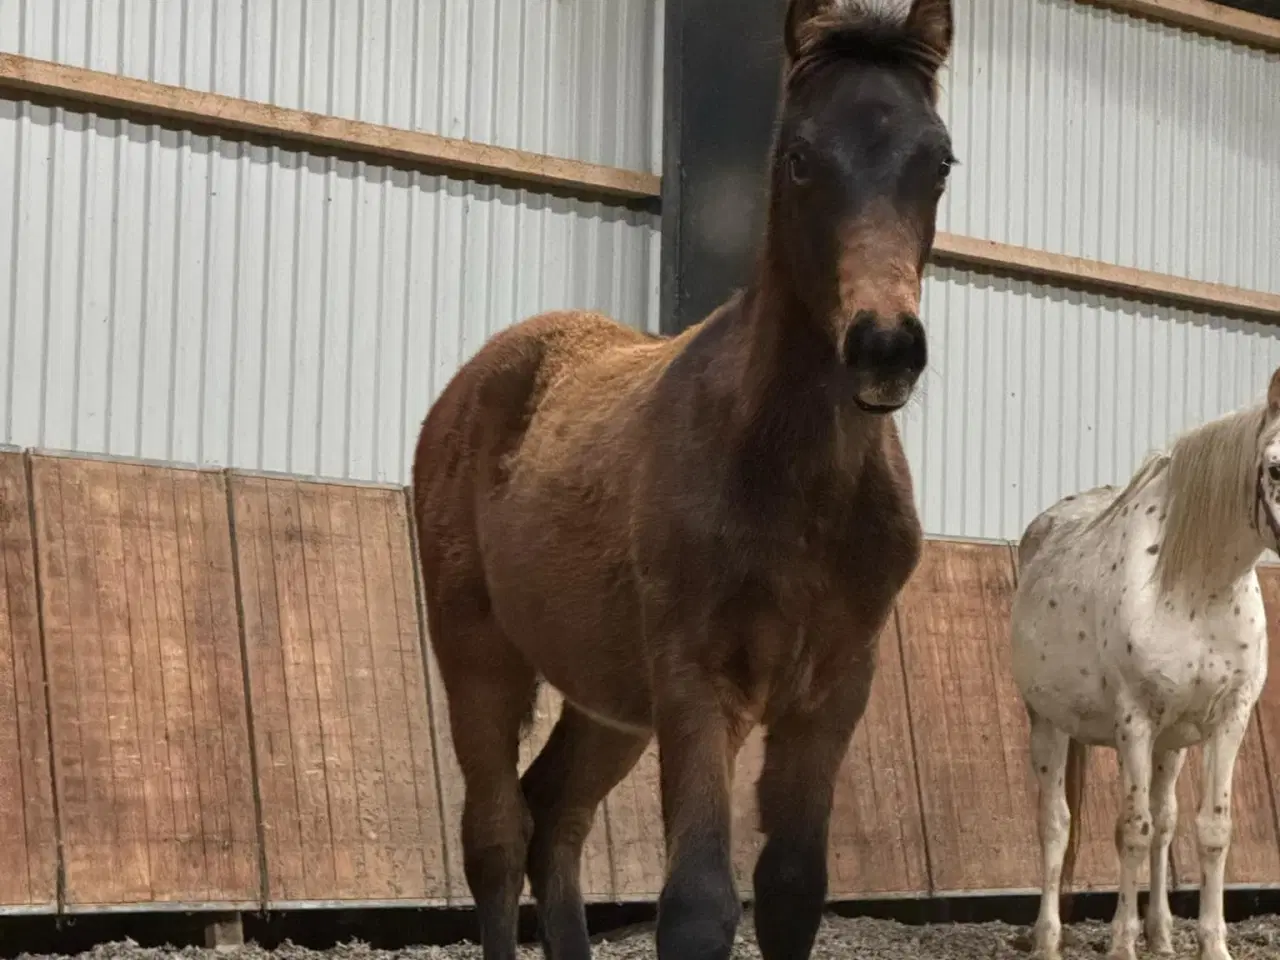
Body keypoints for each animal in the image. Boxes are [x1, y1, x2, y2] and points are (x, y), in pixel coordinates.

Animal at [414, 1, 957, 960]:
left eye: (939, 160)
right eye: (798, 156)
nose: (885, 346)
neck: (797, 482)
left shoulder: (831, 694)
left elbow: (791, 888)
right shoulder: (697, 681)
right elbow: (698, 902)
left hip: (608, 697)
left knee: (554, 814)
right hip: (478, 652)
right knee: (497, 833)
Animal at [1008, 368, 1280, 960]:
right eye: (1274, 467)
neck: (1197, 587)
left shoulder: (1228, 720)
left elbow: (1210, 830)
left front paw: (1211, 945)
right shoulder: (1134, 721)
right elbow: (1130, 829)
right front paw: (1120, 944)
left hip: (1171, 745)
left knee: (1166, 822)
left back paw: (1160, 932)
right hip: (1050, 724)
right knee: (1055, 824)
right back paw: (1047, 938)